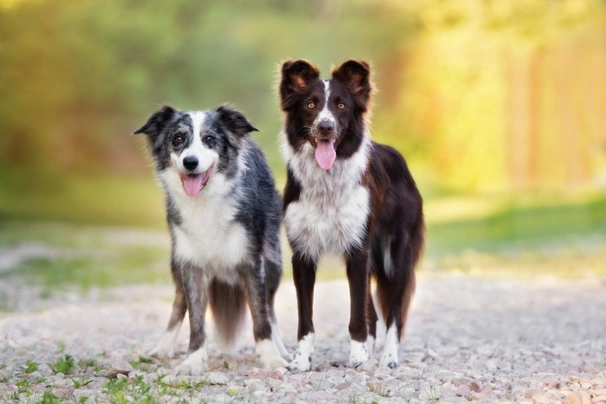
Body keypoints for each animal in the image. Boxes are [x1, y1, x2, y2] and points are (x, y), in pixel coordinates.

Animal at [135, 105, 292, 376]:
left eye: (210, 139)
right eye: (178, 138)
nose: (190, 162)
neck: (204, 202)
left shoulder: (251, 262)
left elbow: (260, 315)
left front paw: (271, 358)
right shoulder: (191, 265)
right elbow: (196, 320)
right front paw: (192, 361)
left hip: (274, 261)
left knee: (270, 308)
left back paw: (279, 348)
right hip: (176, 261)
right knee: (179, 303)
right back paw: (164, 346)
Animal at [280, 59, 426, 370]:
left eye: (341, 105)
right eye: (310, 104)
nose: (325, 127)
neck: (326, 182)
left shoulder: (358, 251)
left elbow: (358, 312)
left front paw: (358, 357)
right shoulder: (302, 253)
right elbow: (305, 317)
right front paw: (301, 361)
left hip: (397, 257)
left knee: (394, 315)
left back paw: (388, 358)